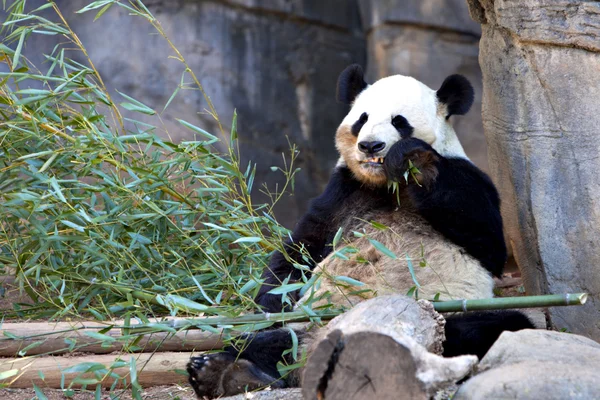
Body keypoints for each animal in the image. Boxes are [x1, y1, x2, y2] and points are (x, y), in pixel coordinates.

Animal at [188, 65, 536, 396]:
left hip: (441, 314)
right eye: (362, 118)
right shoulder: (344, 192)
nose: (370, 146)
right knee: (269, 342)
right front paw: (272, 304)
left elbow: (487, 240)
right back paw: (224, 372)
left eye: (399, 121)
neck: (385, 184)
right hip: (310, 326)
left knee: (489, 326)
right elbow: (301, 250)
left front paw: (414, 160)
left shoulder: (471, 181)